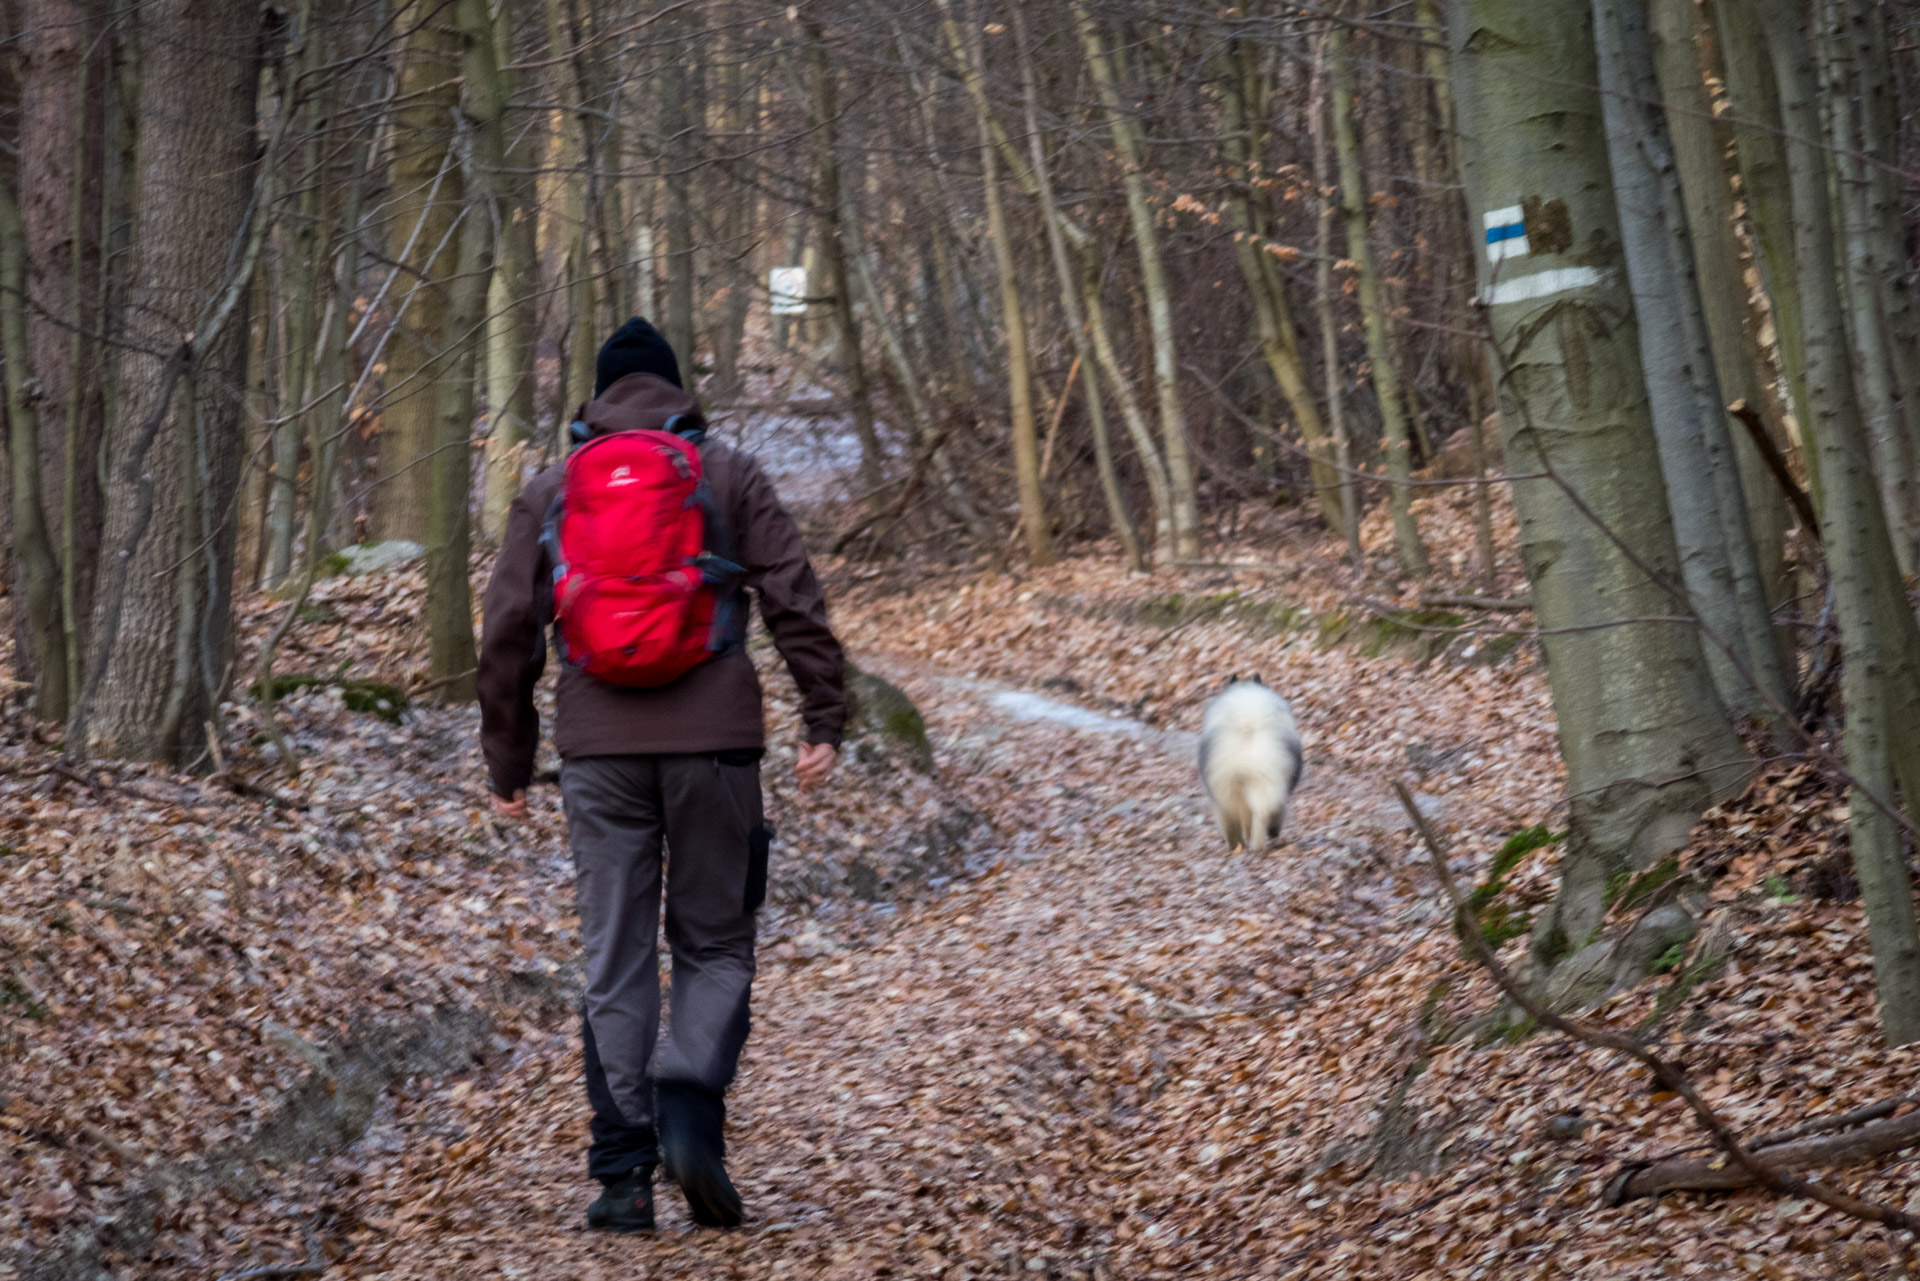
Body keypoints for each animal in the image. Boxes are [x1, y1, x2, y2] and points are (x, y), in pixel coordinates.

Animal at [1198, 676, 1305, 856]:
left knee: (1237, 818)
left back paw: (1240, 845)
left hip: (1228, 789)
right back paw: (1255, 844)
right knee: (1258, 814)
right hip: (1259, 783)